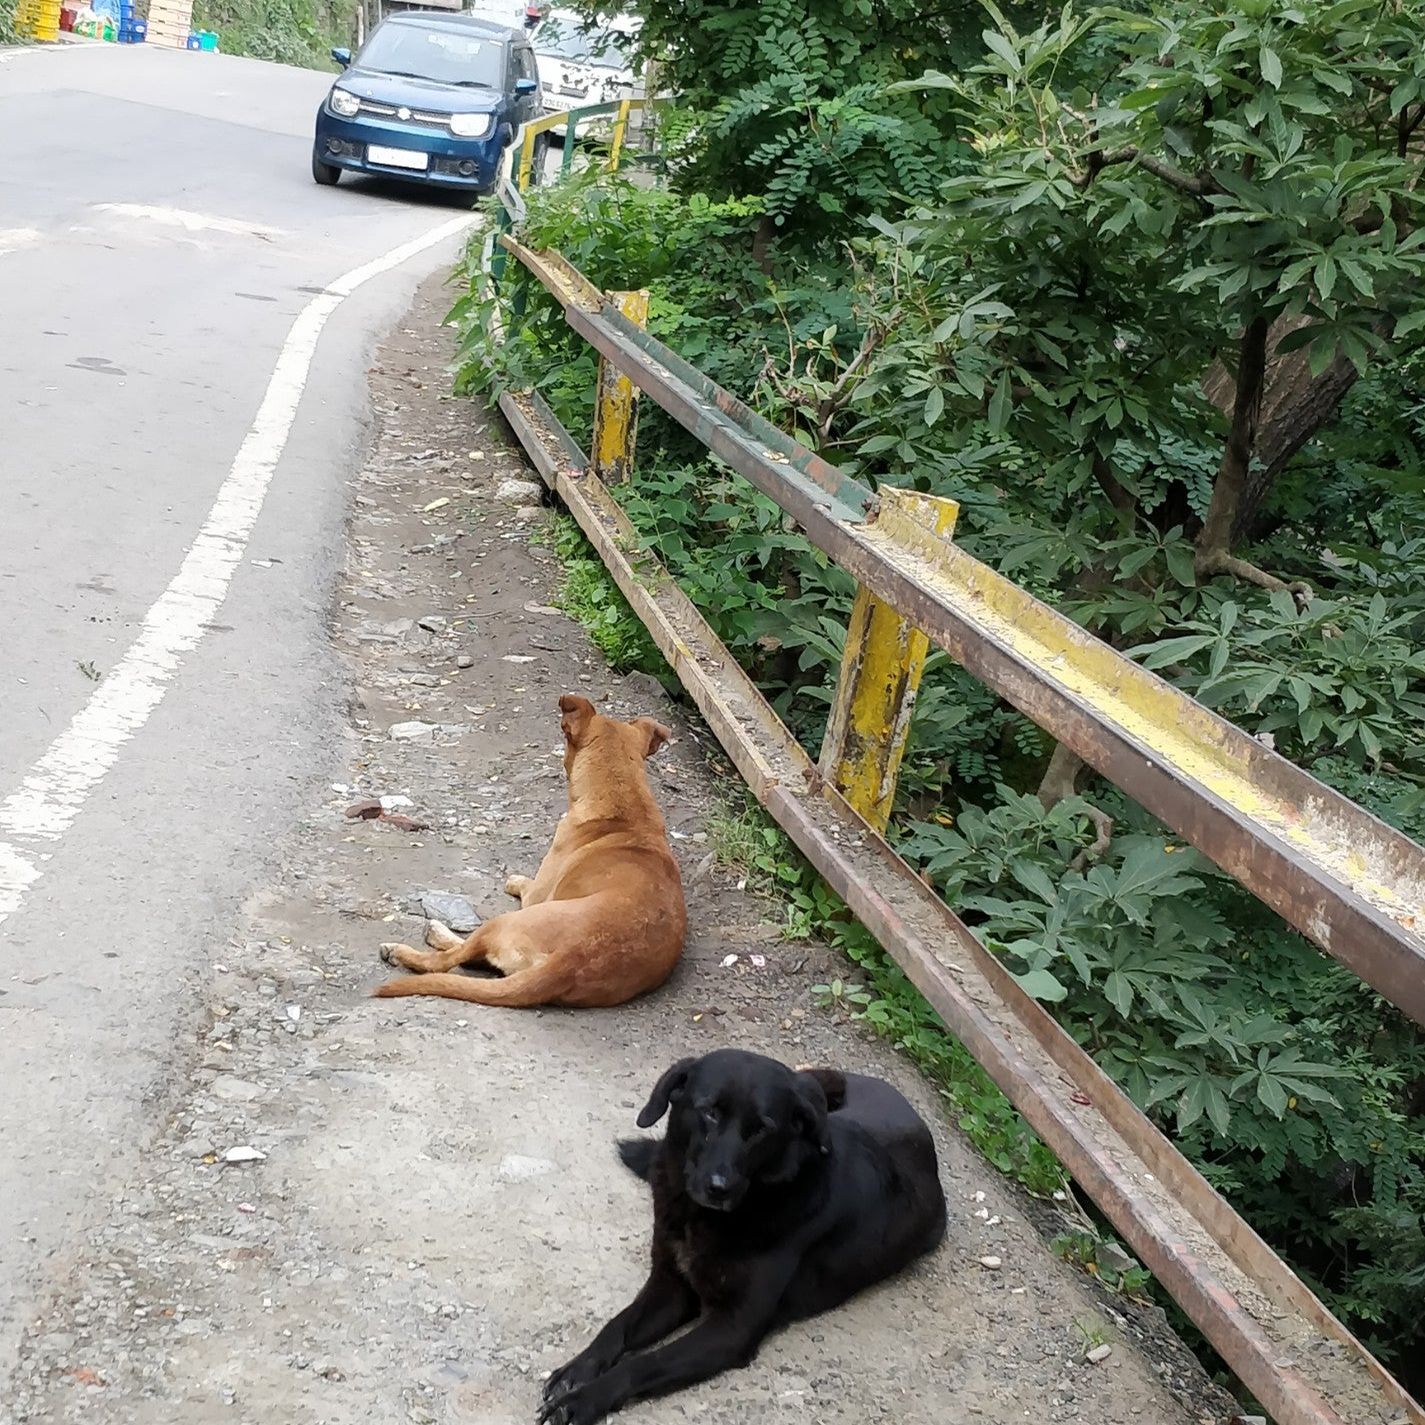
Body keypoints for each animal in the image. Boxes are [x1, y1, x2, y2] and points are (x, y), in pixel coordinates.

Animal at [370, 692, 686, 1008]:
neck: (626, 806)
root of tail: (565, 963)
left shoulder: (538, 894)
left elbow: (526, 886)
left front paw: (515, 880)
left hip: (504, 922)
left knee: (448, 959)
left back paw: (411, 946)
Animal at [535, 1048, 946, 1425]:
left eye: (762, 1128)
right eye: (710, 1112)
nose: (719, 1187)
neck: (700, 1217)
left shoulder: (732, 1328)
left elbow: (644, 1364)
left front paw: (583, 1401)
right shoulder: (671, 1287)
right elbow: (617, 1325)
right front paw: (577, 1370)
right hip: (815, 1080)